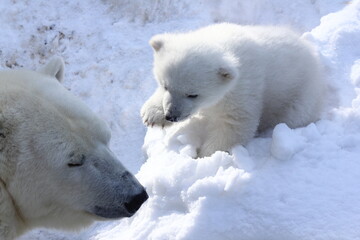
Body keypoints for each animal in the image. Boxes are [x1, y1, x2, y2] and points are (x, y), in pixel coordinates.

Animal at [142, 23, 324, 158]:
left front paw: (204, 156)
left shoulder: (242, 89)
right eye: (165, 85)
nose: (171, 115)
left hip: (299, 97)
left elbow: (233, 125)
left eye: (193, 94)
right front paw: (152, 114)